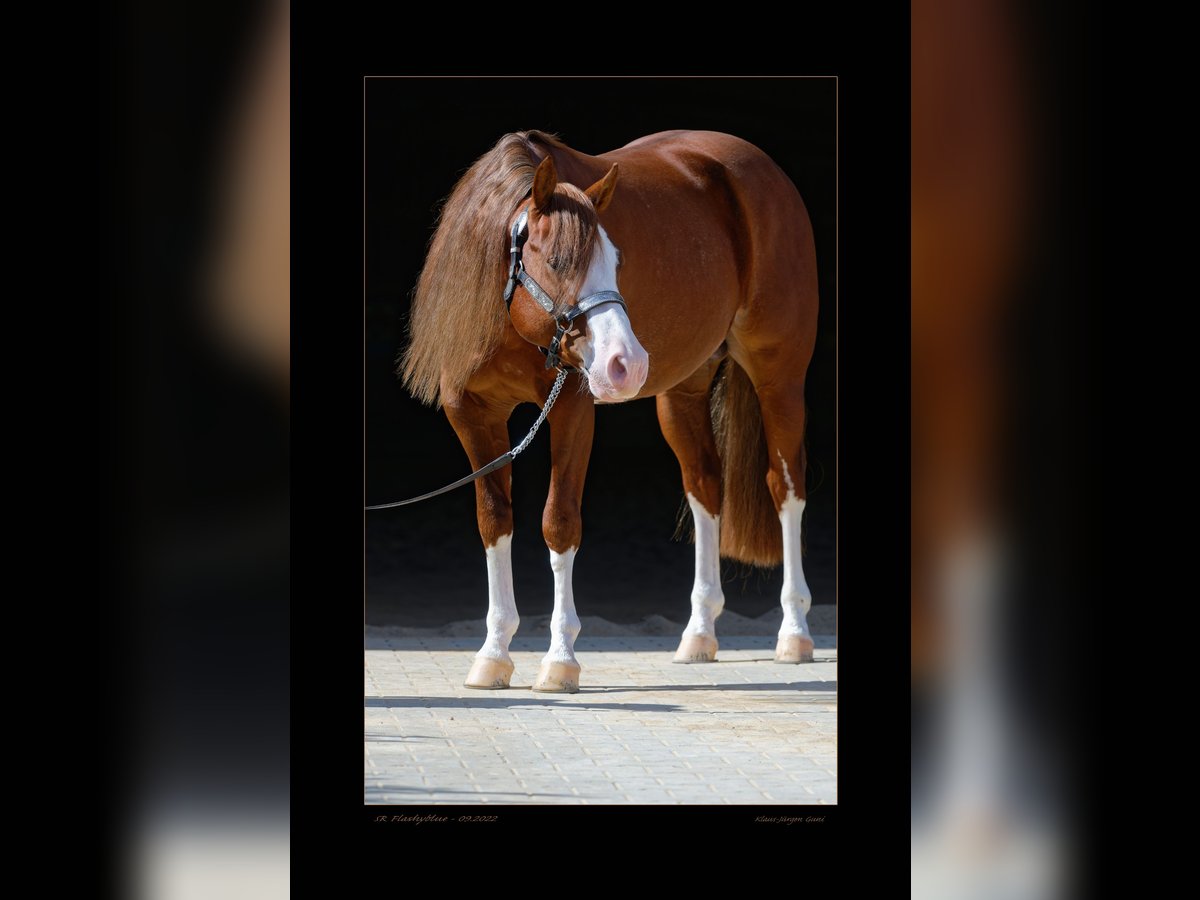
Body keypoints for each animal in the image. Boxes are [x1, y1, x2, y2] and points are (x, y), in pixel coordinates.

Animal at [398, 130, 820, 696]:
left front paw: (560, 661)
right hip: (681, 394)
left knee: (785, 487)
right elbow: (494, 522)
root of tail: (760, 169)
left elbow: (559, 524)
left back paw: (794, 633)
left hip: (779, 377)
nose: (627, 363)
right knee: (706, 488)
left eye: (616, 261)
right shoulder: (472, 417)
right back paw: (699, 635)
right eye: (556, 261)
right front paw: (493, 655)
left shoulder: (571, 410)